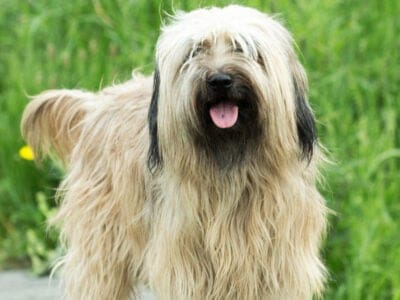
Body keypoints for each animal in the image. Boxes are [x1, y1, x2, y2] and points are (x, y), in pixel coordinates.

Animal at [20, 5, 328, 300]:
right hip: (100, 243)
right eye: (195, 52)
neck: (231, 166)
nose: (220, 80)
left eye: (242, 48)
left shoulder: (278, 262)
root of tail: (95, 104)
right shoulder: (189, 265)